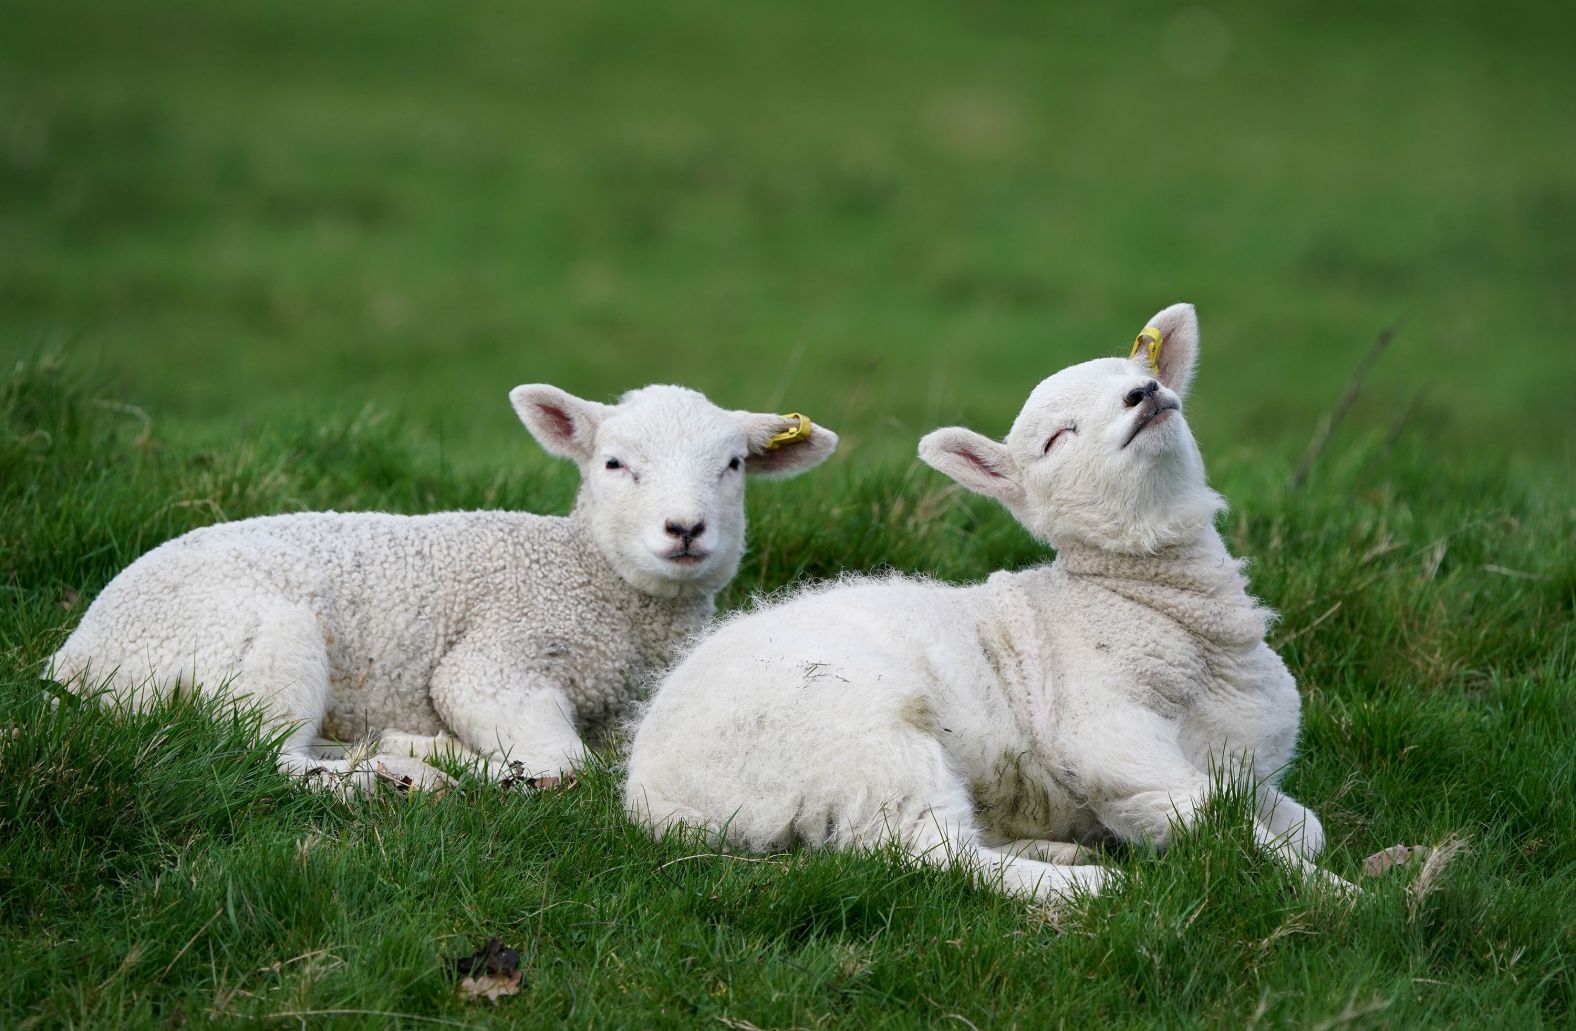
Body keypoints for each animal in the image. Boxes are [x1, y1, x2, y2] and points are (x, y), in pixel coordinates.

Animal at [49, 383, 838, 794]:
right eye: (614, 463)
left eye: (733, 465)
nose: (685, 528)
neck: (591, 578)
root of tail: (75, 659)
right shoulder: (494, 658)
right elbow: (564, 764)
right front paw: (462, 756)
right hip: (250, 640)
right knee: (254, 753)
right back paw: (397, 776)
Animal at [620, 304, 1349, 908]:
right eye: (1057, 439)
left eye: (1138, 373)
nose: (1145, 394)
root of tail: (651, 790)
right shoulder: (1111, 740)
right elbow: (1218, 822)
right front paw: (1338, 896)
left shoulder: (1241, 770)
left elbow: (1304, 826)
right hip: (857, 742)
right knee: (930, 851)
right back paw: (1086, 885)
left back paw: (1059, 848)